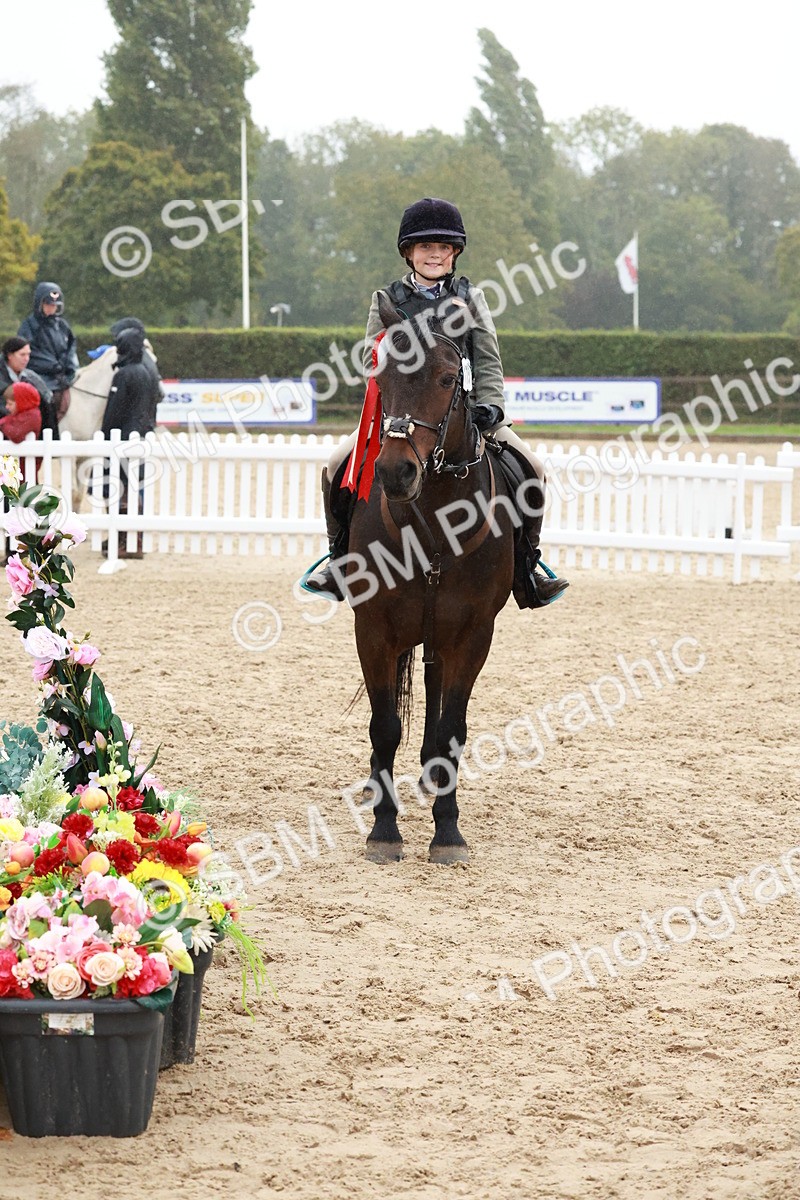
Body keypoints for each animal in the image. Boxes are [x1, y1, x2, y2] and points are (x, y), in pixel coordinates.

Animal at [345, 292, 517, 866]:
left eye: (447, 378)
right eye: (381, 374)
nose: (396, 472)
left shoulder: (473, 634)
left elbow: (451, 728)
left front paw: (447, 831)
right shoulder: (373, 628)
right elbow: (384, 727)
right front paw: (384, 829)